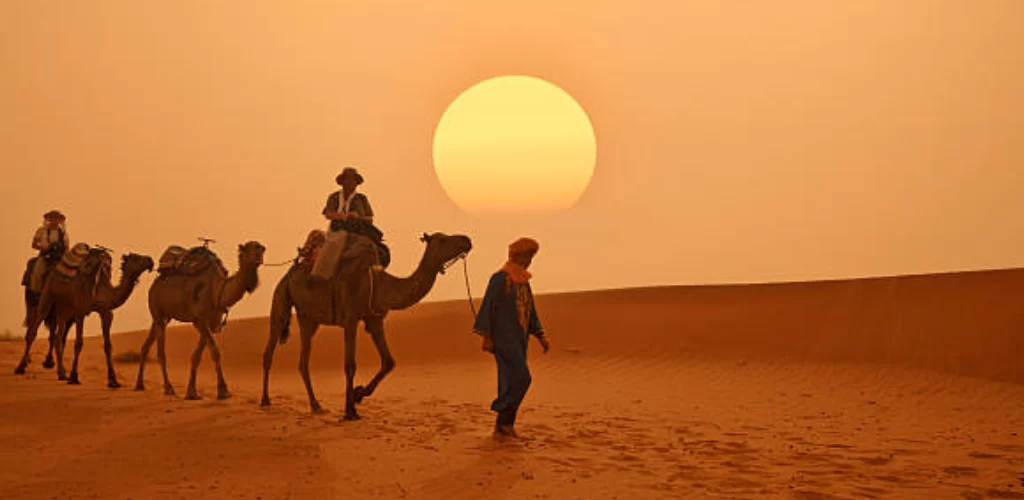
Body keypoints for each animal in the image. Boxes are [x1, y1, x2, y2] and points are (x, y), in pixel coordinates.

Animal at [14, 246, 153, 387]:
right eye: (136, 257)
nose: (150, 260)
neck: (102, 289)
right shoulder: (80, 312)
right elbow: (78, 343)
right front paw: (74, 377)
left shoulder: (105, 312)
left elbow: (108, 345)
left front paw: (113, 380)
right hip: (47, 297)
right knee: (33, 330)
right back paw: (20, 367)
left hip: (64, 307)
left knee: (58, 337)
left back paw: (61, 373)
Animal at [134, 239, 266, 399]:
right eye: (249, 248)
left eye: (259, 247)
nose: (261, 249)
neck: (217, 291)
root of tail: (155, 283)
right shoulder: (200, 320)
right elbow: (215, 352)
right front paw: (223, 390)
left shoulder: (211, 322)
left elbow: (197, 356)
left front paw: (192, 391)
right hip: (156, 306)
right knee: (161, 352)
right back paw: (168, 388)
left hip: (164, 317)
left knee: (146, 345)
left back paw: (139, 384)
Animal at [262, 232, 473, 420]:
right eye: (443, 239)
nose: (467, 240)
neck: (380, 284)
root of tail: (289, 273)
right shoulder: (350, 319)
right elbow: (350, 365)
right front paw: (350, 411)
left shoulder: (374, 320)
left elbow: (389, 361)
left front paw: (358, 394)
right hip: (281, 298)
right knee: (270, 349)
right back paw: (265, 400)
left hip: (308, 319)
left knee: (303, 362)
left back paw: (316, 405)